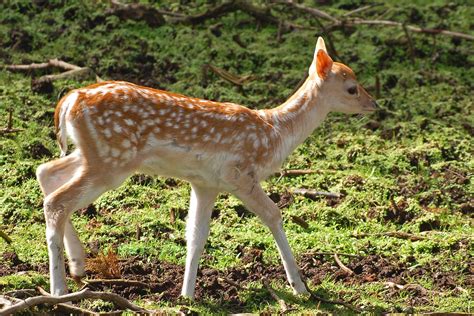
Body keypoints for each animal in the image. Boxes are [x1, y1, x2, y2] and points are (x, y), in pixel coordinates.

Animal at [36, 37, 378, 298]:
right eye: (351, 87)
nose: (374, 104)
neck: (274, 133)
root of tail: (69, 101)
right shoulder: (239, 174)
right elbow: (273, 214)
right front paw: (301, 288)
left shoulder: (205, 182)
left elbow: (196, 235)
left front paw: (187, 295)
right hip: (112, 159)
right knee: (57, 200)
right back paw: (59, 290)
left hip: (93, 154)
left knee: (47, 171)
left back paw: (78, 264)